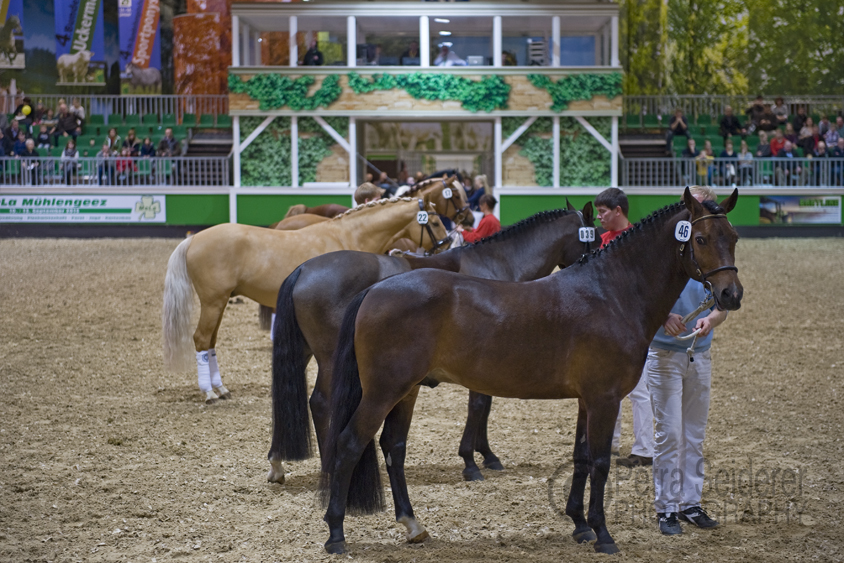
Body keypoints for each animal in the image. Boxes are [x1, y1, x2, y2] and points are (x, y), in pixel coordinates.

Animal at [159, 196, 448, 404]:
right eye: (434, 223)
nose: (445, 246)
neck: (348, 236)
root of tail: (195, 238)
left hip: (217, 304)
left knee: (210, 341)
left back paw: (220, 389)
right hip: (213, 302)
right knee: (201, 339)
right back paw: (209, 392)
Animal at [268, 199, 596, 484]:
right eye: (591, 238)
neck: (496, 264)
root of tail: (303, 269)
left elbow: (485, 403)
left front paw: (487, 455)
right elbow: (479, 405)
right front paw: (471, 461)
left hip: (304, 352)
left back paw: (278, 462)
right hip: (331, 359)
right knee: (321, 403)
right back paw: (328, 463)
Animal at [320, 188, 740, 556]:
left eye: (733, 237)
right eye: (701, 238)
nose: (730, 294)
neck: (611, 293)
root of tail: (376, 289)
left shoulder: (587, 401)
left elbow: (581, 457)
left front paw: (580, 525)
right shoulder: (604, 399)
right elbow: (600, 463)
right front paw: (603, 534)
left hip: (406, 391)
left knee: (393, 446)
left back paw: (412, 524)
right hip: (382, 392)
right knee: (349, 444)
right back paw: (336, 534)